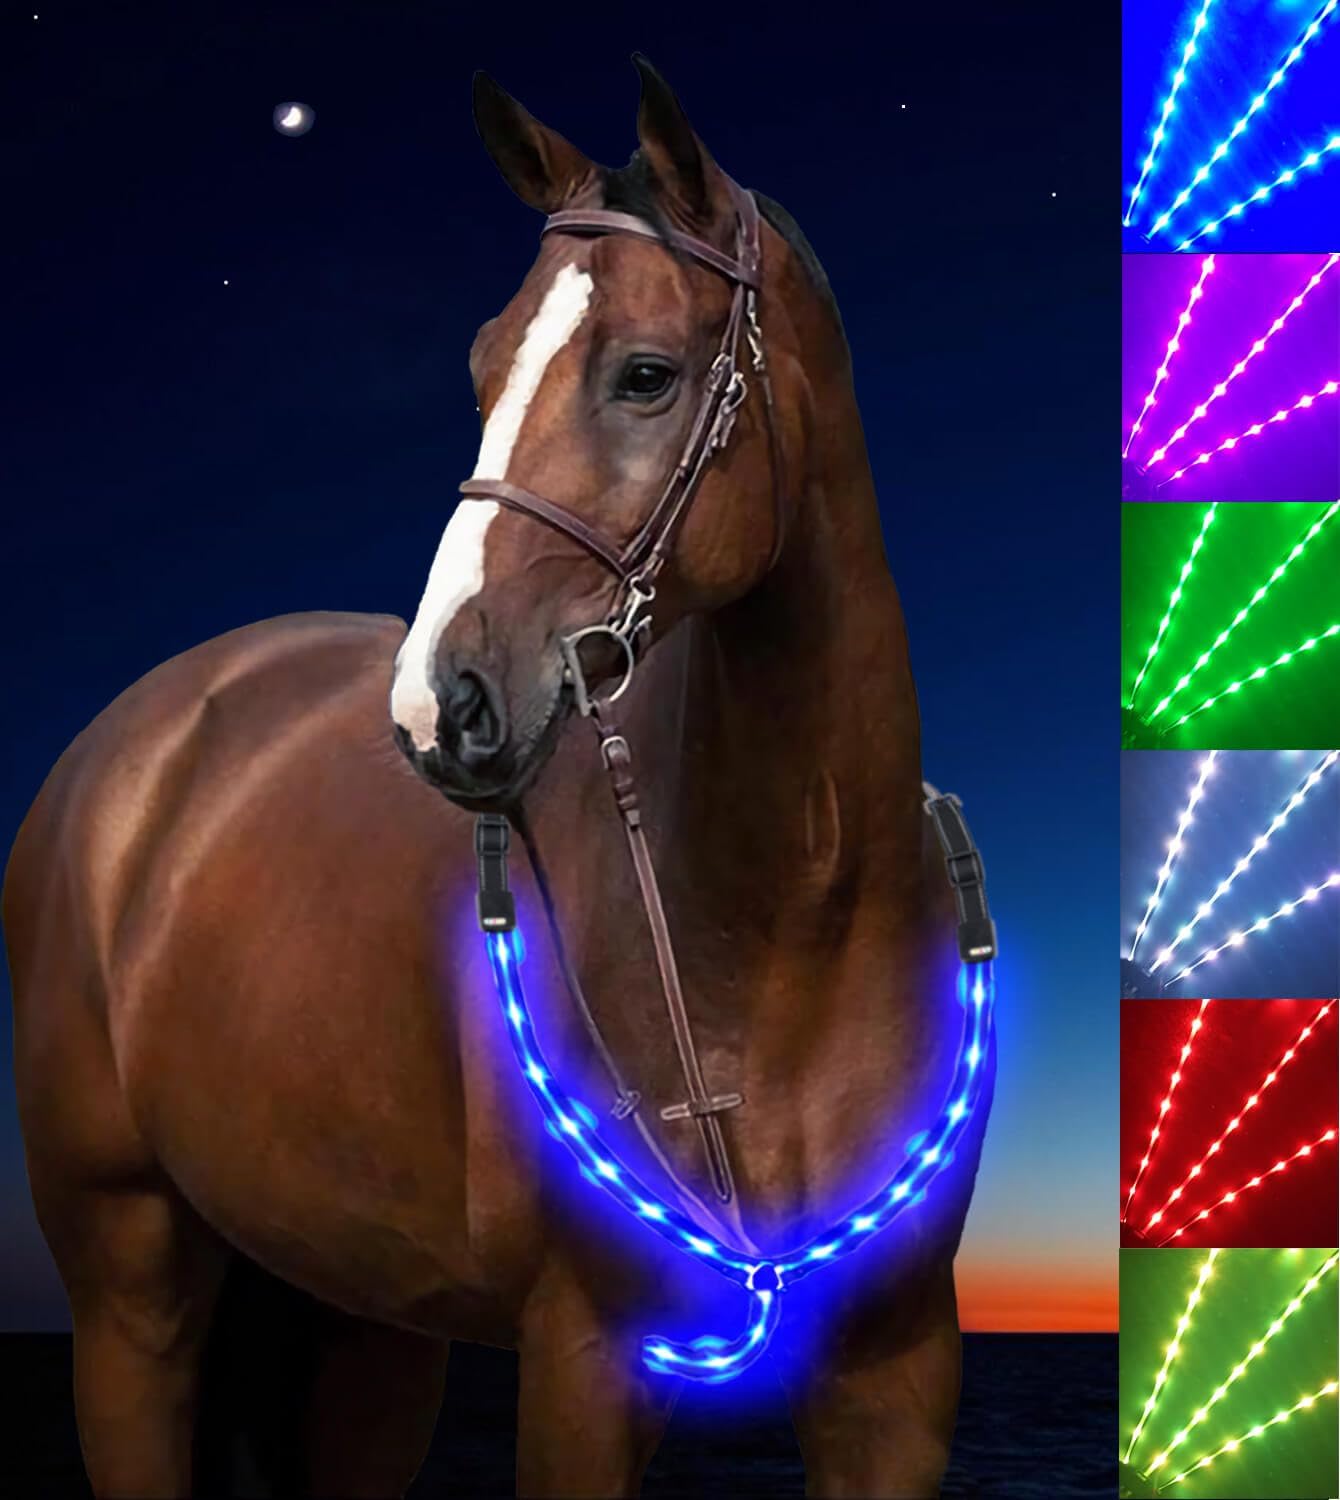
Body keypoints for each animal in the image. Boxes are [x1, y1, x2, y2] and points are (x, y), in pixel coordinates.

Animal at [4, 55, 994, 1498]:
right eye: (482, 366)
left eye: (646, 375)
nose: (438, 706)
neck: (797, 918)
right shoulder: (581, 1361)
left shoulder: (898, 1378)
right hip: (129, 1284)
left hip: (364, 1325)